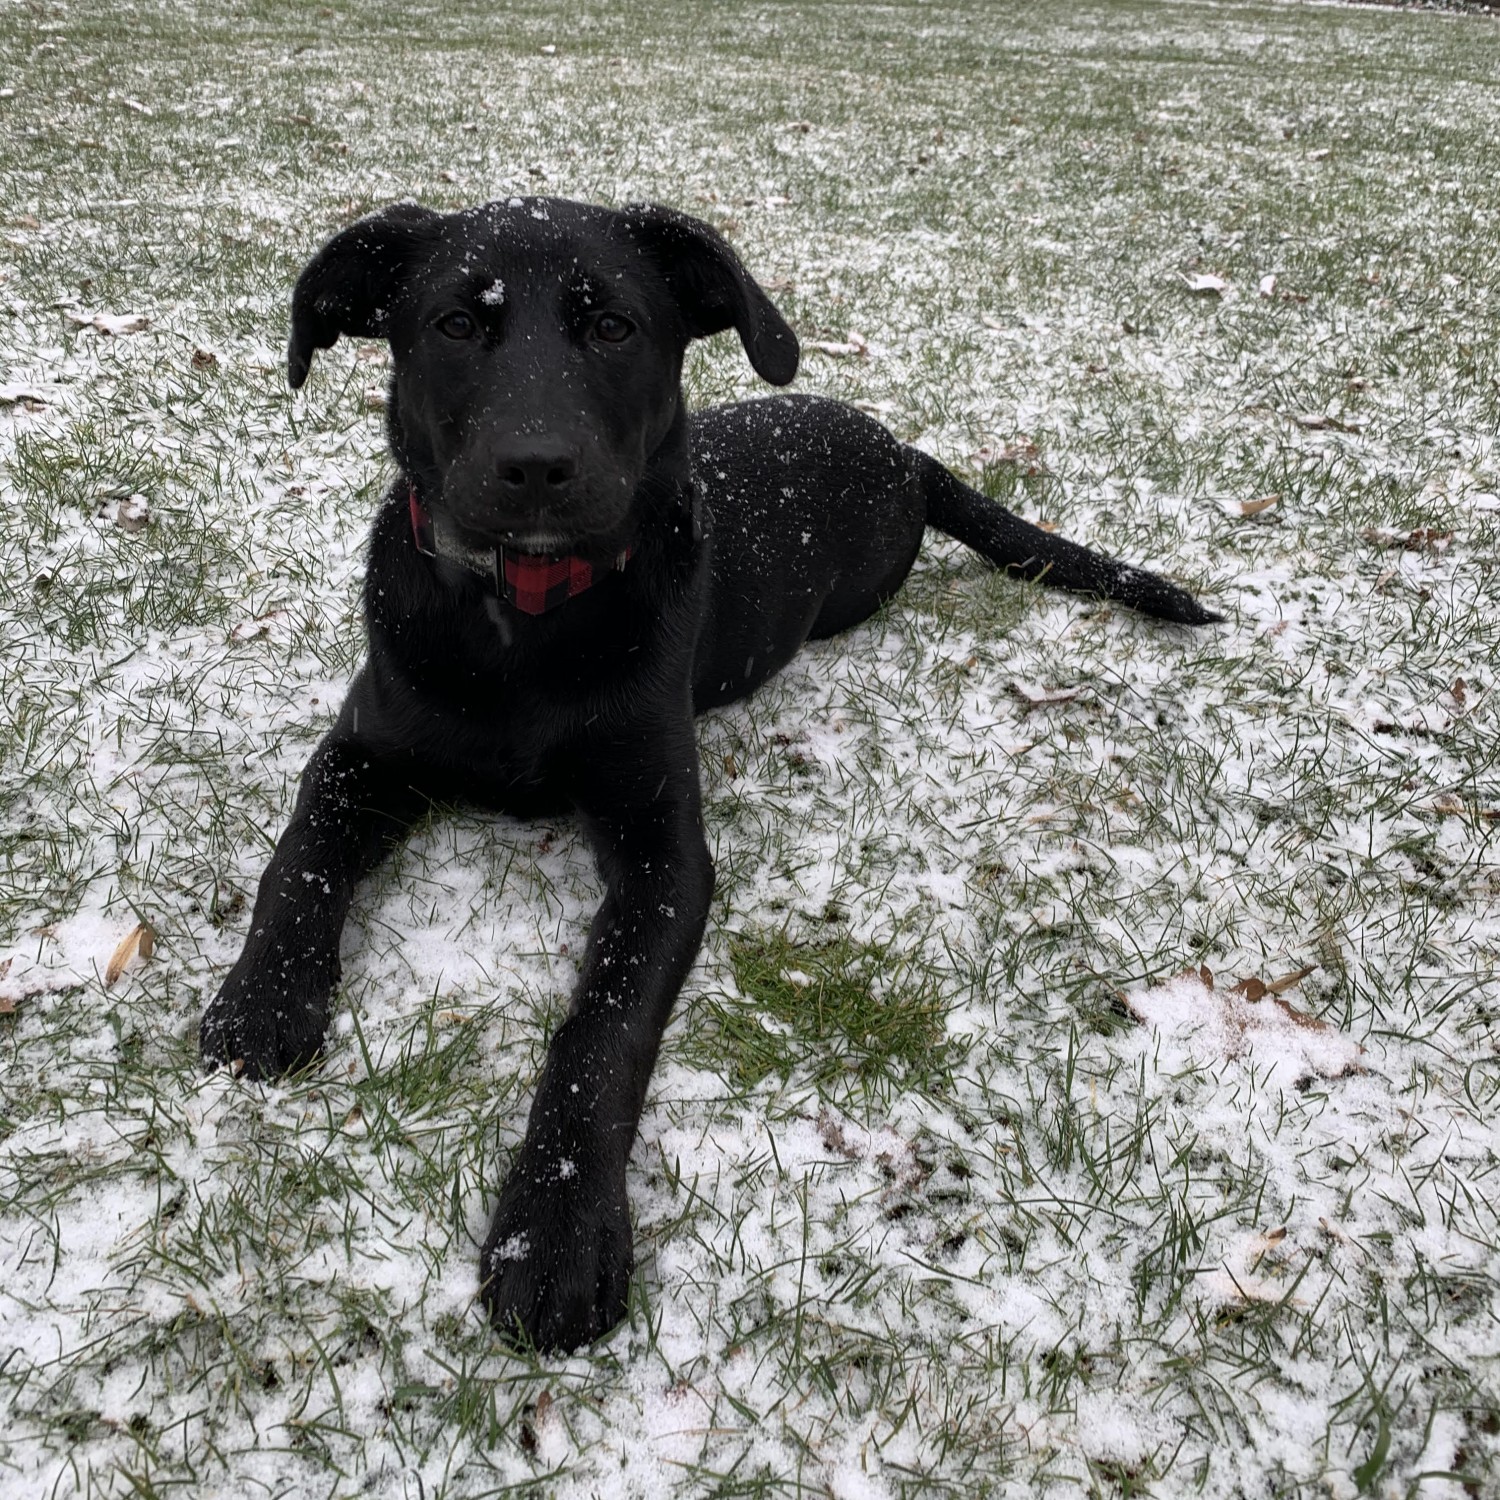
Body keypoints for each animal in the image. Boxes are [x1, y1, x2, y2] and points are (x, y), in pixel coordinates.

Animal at [202, 193, 1218, 1356]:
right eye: (457, 325)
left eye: (613, 327)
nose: (536, 465)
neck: (524, 628)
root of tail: (907, 451)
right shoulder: (363, 748)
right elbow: (300, 858)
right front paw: (264, 997)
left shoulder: (663, 850)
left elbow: (601, 1029)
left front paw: (555, 1234)